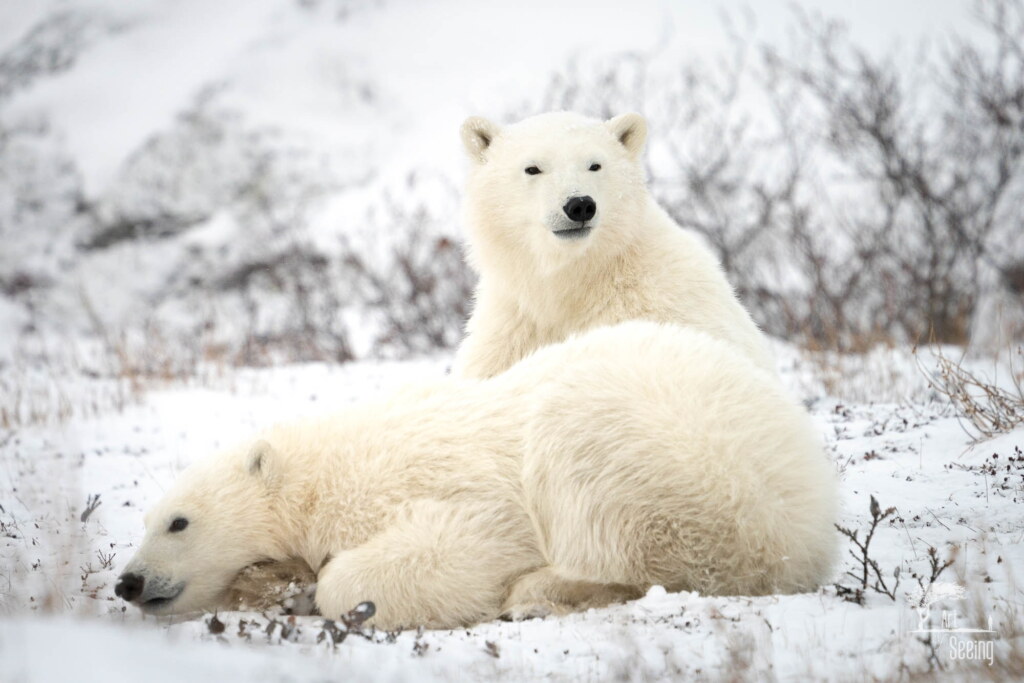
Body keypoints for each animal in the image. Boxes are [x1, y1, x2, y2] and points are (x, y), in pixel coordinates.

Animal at [115, 321, 837, 630]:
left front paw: (316, 585)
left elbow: (465, 544)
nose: (128, 581)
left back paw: (540, 592)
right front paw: (272, 581)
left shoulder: (436, 479)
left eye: (178, 521)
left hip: (668, 459)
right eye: (147, 520)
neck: (325, 471)